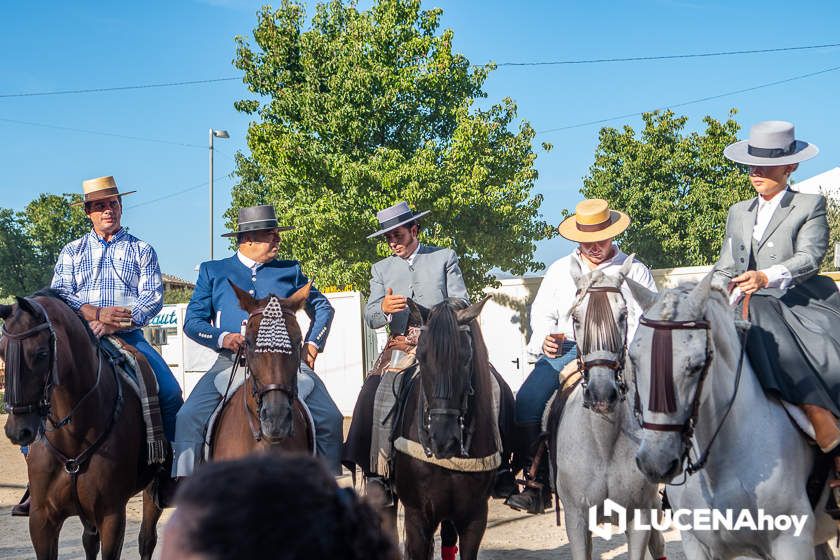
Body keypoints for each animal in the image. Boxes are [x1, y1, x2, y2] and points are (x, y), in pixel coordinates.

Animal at [1, 294, 164, 560]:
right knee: (89, 540)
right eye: (2, 351)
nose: (18, 431)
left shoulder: (112, 516)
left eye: (41, 353)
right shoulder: (42, 519)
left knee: (147, 540)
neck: (72, 438)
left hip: (152, 491)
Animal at [556, 255, 668, 560]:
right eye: (576, 317)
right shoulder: (576, 517)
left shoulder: (640, 515)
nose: (602, 393)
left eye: (623, 315)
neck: (603, 441)